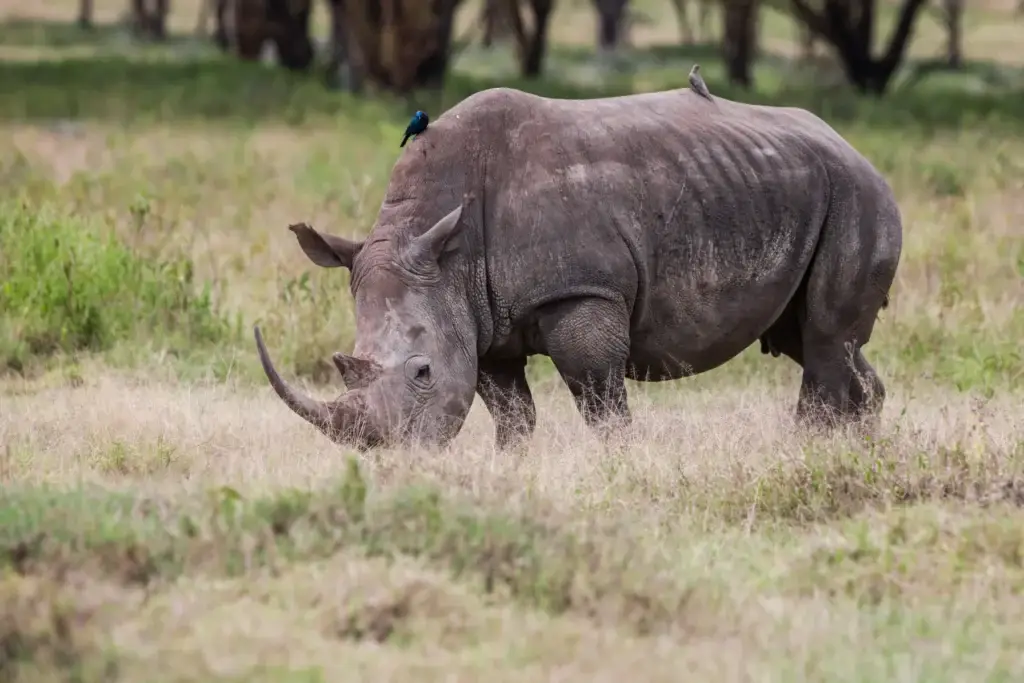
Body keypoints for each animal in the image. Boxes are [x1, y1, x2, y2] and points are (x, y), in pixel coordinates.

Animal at [254, 75, 902, 451]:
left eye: (422, 372)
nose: (393, 461)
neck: (441, 241)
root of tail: (853, 147)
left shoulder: (581, 292)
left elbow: (600, 401)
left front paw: (619, 467)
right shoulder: (475, 316)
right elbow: (512, 412)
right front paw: (512, 468)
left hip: (856, 193)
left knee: (824, 339)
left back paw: (809, 453)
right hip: (794, 188)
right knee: (811, 338)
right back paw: (859, 452)